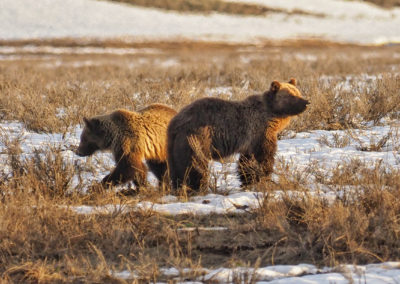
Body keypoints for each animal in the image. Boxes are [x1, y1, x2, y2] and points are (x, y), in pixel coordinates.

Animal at [167, 78, 308, 191]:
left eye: (298, 92)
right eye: (291, 95)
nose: (306, 102)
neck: (273, 115)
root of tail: (176, 121)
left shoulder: (250, 141)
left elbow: (246, 162)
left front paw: (248, 180)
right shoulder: (260, 131)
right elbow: (264, 155)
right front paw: (264, 177)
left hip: (174, 145)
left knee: (176, 166)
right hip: (198, 137)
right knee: (195, 163)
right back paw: (198, 186)